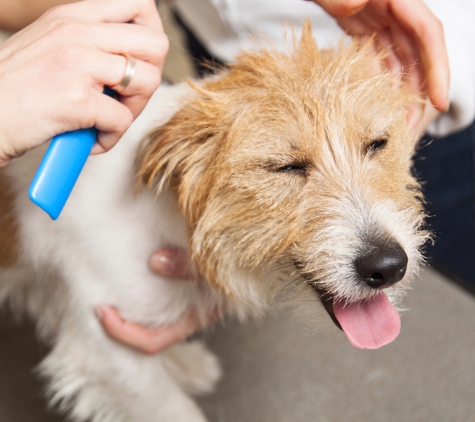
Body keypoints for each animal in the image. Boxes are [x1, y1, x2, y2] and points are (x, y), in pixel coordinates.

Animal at [0, 23, 428, 422]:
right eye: (285, 167)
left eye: (377, 144)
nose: (388, 266)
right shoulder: (108, 350)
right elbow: (170, 407)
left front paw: (179, 362)